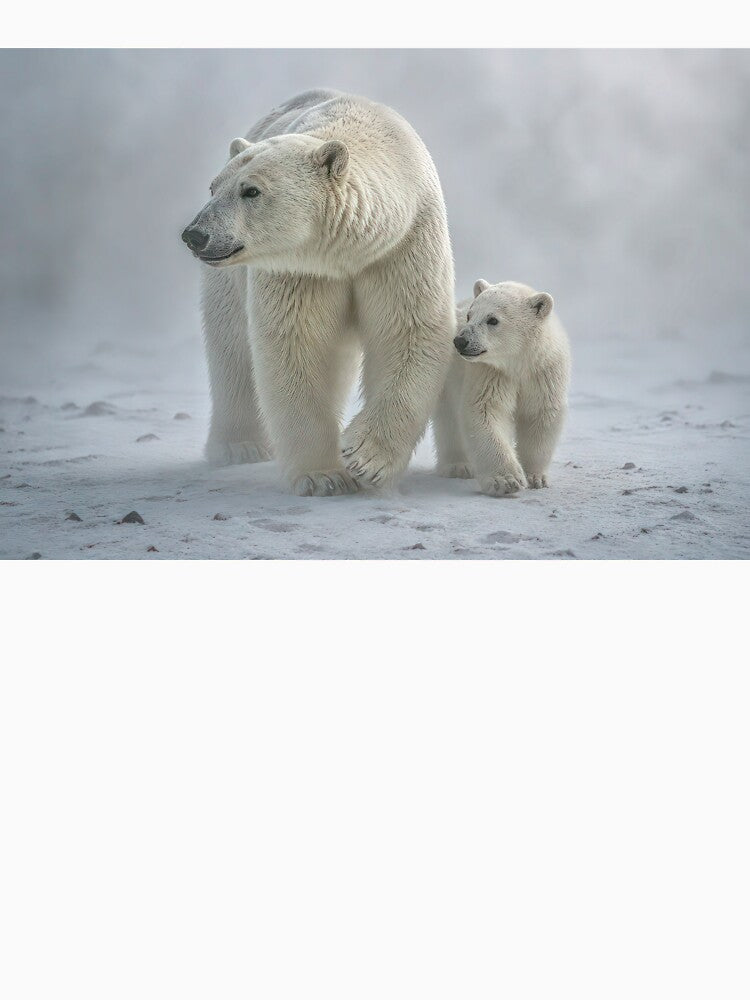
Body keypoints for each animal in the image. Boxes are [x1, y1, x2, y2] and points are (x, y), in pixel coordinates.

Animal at [181, 89, 455, 497]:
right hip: (229, 281)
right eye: (213, 187)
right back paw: (238, 446)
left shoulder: (402, 245)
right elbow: (298, 346)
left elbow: (410, 331)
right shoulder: (300, 268)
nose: (195, 234)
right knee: (231, 346)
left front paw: (364, 457)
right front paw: (324, 476)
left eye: (251, 190)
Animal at [433, 279, 570, 497]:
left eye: (492, 320)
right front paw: (506, 481)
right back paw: (458, 466)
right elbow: (486, 411)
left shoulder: (543, 374)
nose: (460, 341)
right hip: (448, 377)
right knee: (449, 419)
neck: (518, 364)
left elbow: (540, 415)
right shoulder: (491, 374)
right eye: (470, 315)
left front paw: (535, 477)